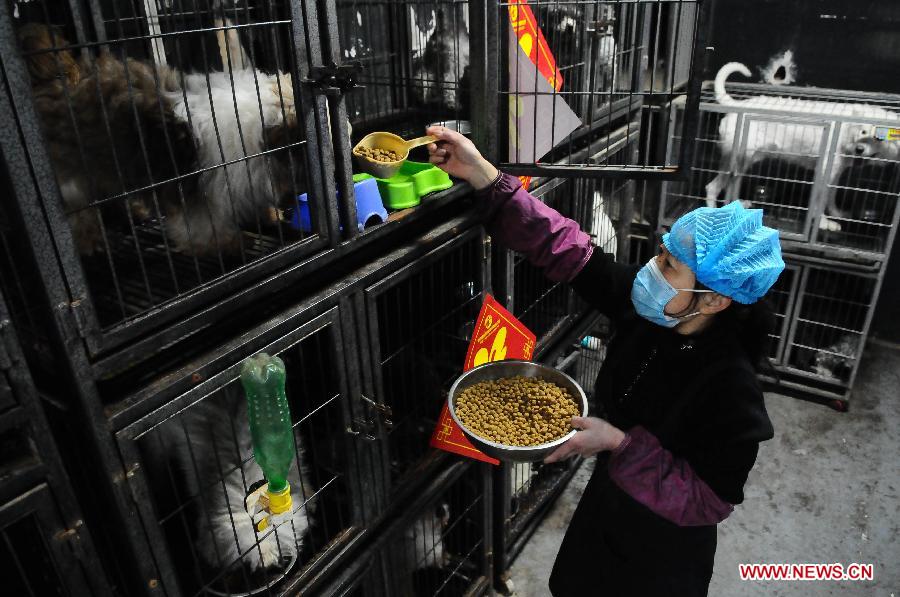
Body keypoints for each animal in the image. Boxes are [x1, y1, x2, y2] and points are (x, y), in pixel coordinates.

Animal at [708, 62, 896, 229]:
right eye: (863, 132)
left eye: (879, 138)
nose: (859, 150)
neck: (848, 129)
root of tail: (738, 104)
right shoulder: (824, 174)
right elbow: (819, 203)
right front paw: (823, 224)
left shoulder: (835, 175)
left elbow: (831, 198)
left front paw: (836, 214)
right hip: (739, 158)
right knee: (713, 187)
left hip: (743, 161)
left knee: (724, 186)